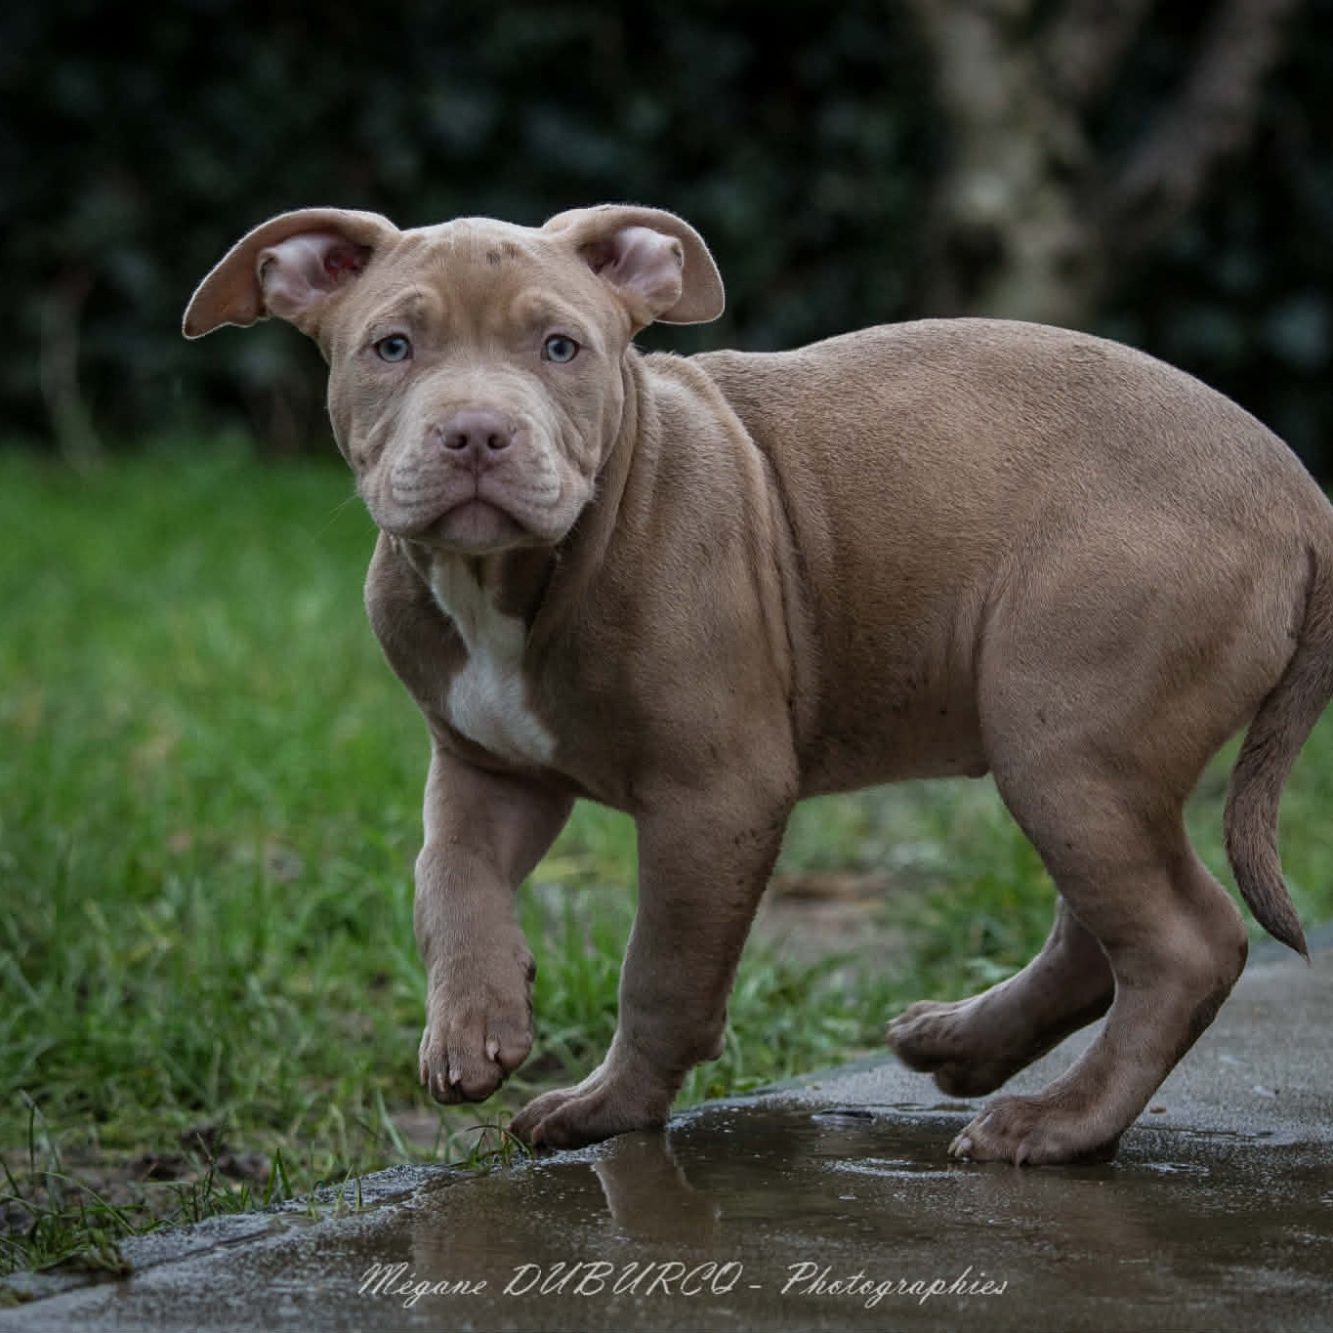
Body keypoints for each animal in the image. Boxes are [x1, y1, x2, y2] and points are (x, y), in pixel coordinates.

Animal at [183, 204, 1333, 1165]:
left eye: (561, 349)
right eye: (392, 348)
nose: (475, 433)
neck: (520, 575)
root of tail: (1299, 490)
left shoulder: (714, 793)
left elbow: (662, 969)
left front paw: (608, 1107)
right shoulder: (486, 768)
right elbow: (447, 879)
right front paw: (474, 1023)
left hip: (1065, 733)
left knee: (1182, 940)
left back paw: (1059, 1124)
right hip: (1082, 754)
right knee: (1106, 931)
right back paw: (964, 1044)